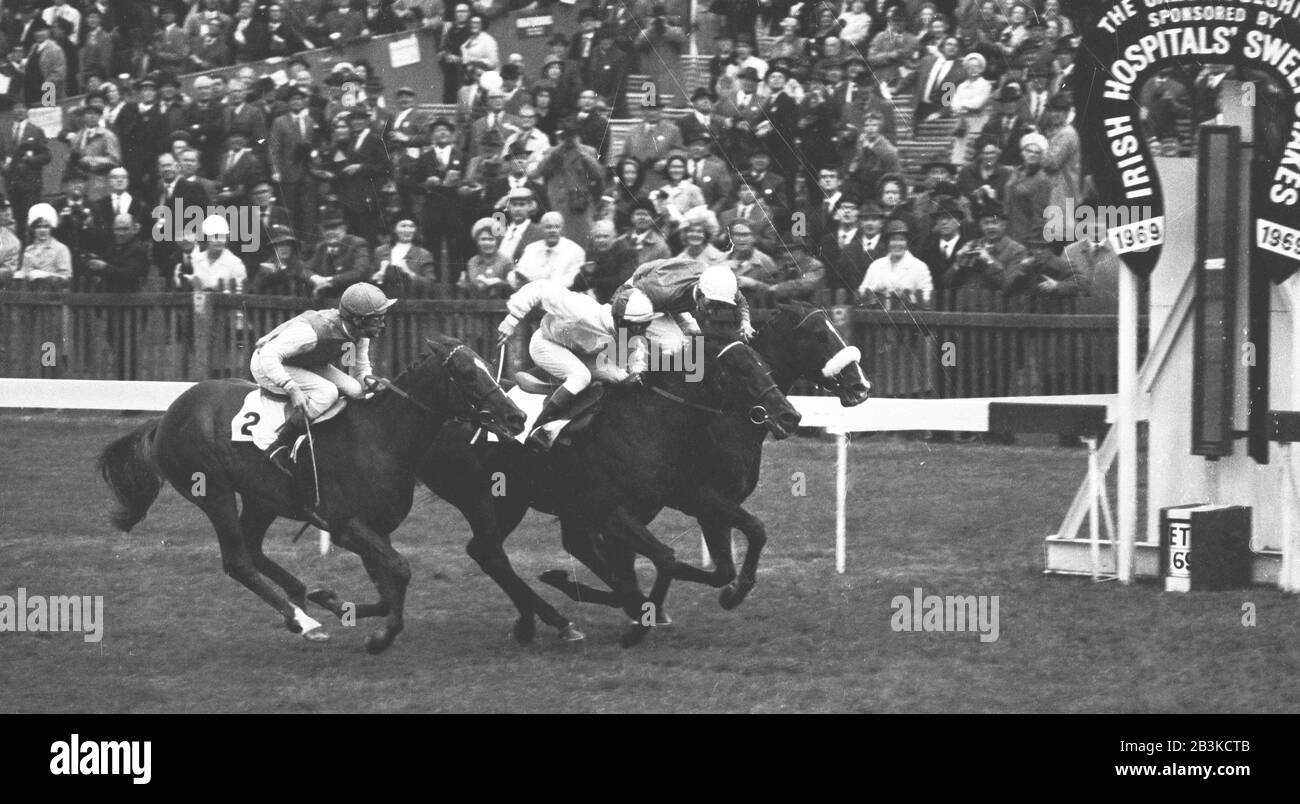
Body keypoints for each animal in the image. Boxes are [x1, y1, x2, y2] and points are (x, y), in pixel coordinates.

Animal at [97, 331, 522, 650]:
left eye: (488, 366)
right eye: (466, 373)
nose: (515, 416)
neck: (380, 437)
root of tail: (166, 416)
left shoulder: (376, 529)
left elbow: (388, 586)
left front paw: (333, 602)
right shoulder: (345, 524)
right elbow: (399, 570)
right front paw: (380, 637)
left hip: (260, 498)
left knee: (252, 549)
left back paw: (300, 596)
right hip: (212, 490)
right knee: (237, 561)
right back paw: (302, 621)